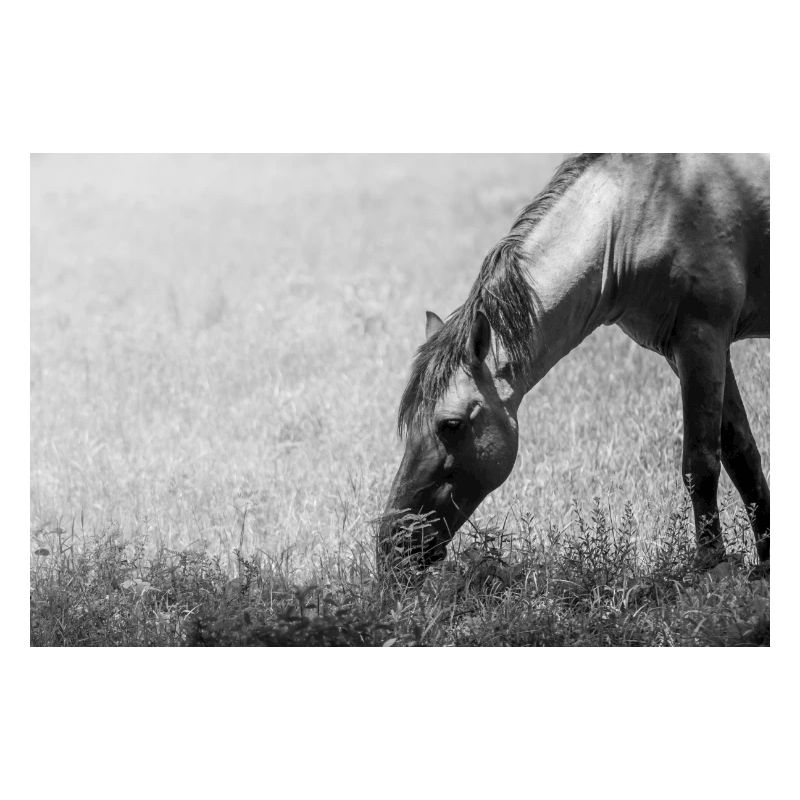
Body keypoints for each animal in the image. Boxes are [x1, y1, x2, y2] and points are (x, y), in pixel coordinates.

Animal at [380, 153, 769, 571]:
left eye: (450, 425)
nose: (392, 543)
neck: (639, 212)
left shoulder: (702, 338)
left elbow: (701, 463)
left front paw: (713, 567)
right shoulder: (690, 352)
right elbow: (741, 455)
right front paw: (764, 565)